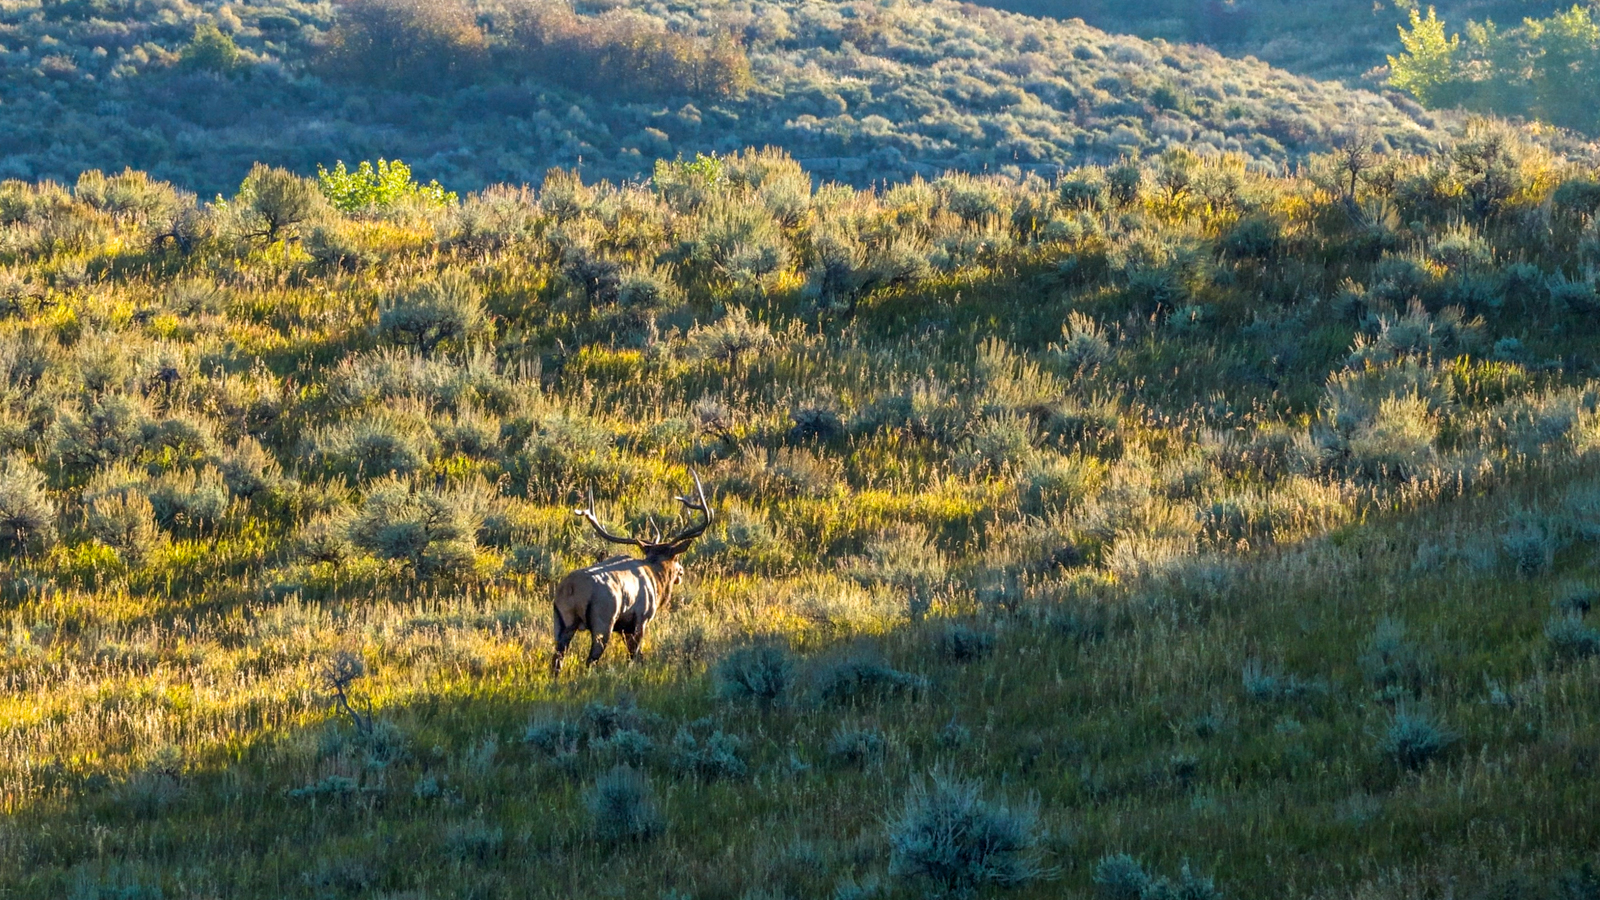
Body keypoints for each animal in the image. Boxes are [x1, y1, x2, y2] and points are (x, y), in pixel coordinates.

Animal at [550, 471, 712, 676]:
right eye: (676, 558)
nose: (681, 573)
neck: (657, 582)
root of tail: (571, 588)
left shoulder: (624, 627)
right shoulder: (641, 619)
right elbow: (636, 655)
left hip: (561, 621)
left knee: (557, 658)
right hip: (603, 619)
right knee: (591, 659)